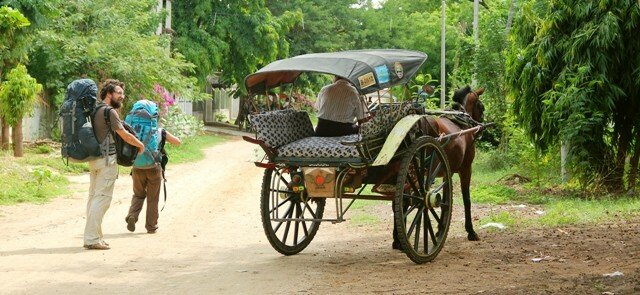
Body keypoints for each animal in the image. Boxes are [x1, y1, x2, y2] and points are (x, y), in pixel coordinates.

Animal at [390, 85, 484, 250]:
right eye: (481, 106)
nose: (481, 123)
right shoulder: (466, 168)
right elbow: (466, 199)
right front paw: (471, 231)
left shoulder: (448, 172)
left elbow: (446, 198)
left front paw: (441, 227)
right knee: (406, 200)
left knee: (398, 201)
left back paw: (397, 240)